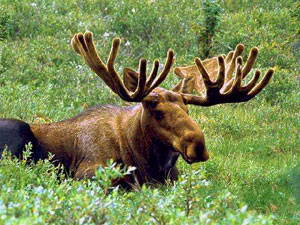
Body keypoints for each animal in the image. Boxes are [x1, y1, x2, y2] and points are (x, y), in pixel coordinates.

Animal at [0, 31, 274, 186]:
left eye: (187, 110)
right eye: (156, 109)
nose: (198, 145)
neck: (150, 164)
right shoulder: (87, 173)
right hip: (17, 130)